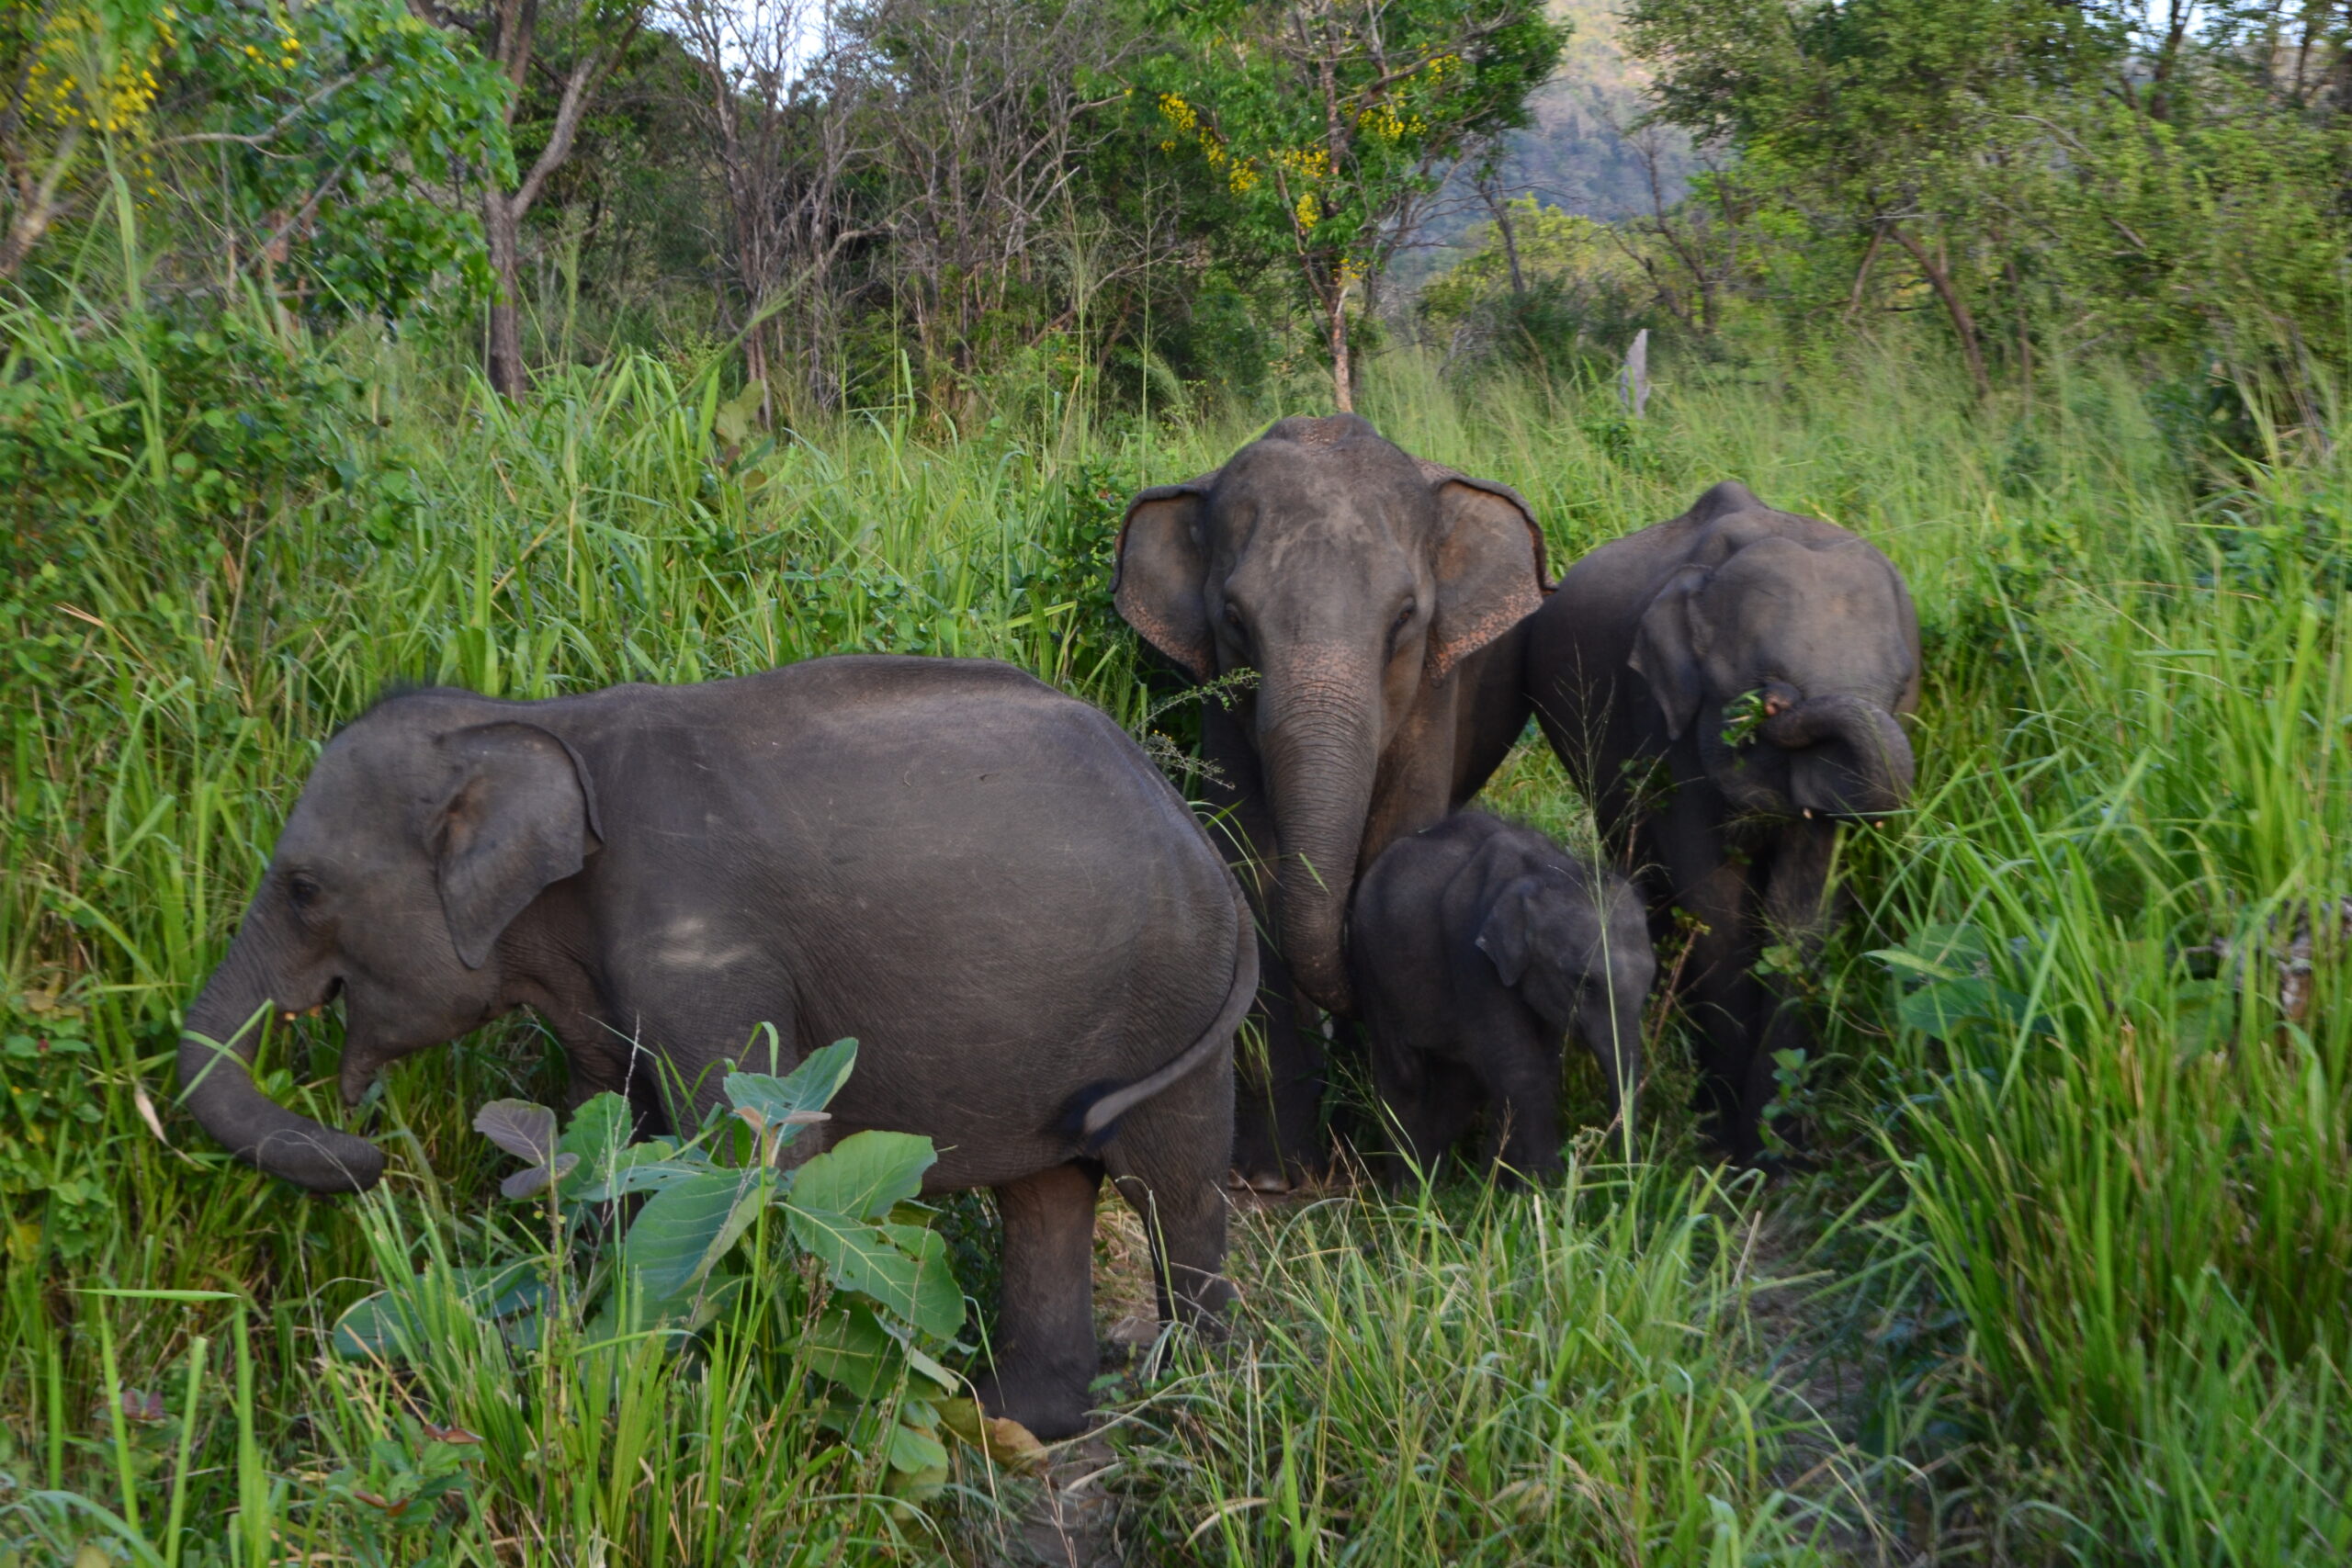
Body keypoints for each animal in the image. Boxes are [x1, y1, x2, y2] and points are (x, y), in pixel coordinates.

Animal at [174, 658, 1261, 1438]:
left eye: (304, 888)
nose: (370, 1159)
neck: (530, 719)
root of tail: (1187, 813)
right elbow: (613, 1141)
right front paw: (599, 1356)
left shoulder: (700, 943)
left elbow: (756, 1152)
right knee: (1046, 1193)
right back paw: (1016, 1425)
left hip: (1170, 995)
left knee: (1172, 1187)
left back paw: (1187, 1412)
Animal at [1114, 415, 1552, 1189]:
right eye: (1234, 618)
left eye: (1405, 616)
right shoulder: (1221, 701)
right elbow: (1250, 861)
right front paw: (1273, 1177)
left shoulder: (1434, 693)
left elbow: (1394, 847)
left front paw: (1377, 1151)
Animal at [1354, 818, 1665, 1184]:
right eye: (1584, 982)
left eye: (1649, 982)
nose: (1626, 1176)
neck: (1547, 871)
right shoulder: (1470, 951)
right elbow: (1518, 1065)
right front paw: (1546, 1187)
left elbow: (1542, 1064)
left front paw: (1507, 1185)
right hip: (1370, 967)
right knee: (1404, 1074)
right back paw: (1411, 1187)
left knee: (1462, 1081)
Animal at [1523, 484, 1909, 1161]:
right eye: (1766, 697)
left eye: (1898, 692)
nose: (1779, 702)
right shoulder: (1659, 715)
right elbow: (1714, 907)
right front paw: (1722, 1145)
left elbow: (1801, 912)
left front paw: (1774, 1154)